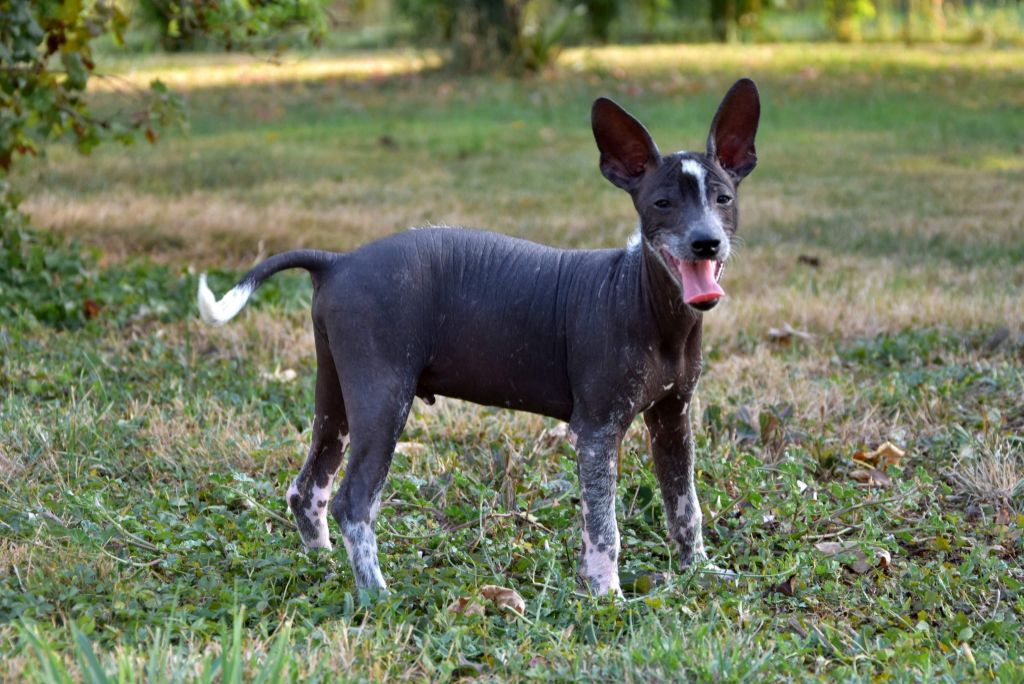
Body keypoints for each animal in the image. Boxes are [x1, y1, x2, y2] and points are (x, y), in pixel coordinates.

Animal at [199, 78, 761, 593]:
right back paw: (377, 595)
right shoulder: (597, 433)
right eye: (662, 203)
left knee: (309, 488)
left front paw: (700, 571)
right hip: (384, 398)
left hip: (336, 396)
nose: (706, 242)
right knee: (352, 502)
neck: (648, 305)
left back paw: (323, 565)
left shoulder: (673, 420)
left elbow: (685, 505)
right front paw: (608, 597)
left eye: (723, 198)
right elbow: (604, 528)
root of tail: (338, 261)